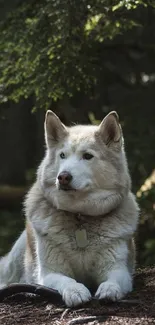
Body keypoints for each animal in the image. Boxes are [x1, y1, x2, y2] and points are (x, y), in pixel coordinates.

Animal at [0, 110, 139, 306]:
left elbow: (113, 280)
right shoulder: (50, 273)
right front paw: (76, 291)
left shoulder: (119, 269)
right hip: (16, 258)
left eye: (87, 156)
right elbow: (66, 280)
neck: (79, 215)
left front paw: (109, 290)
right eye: (62, 156)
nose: (63, 177)